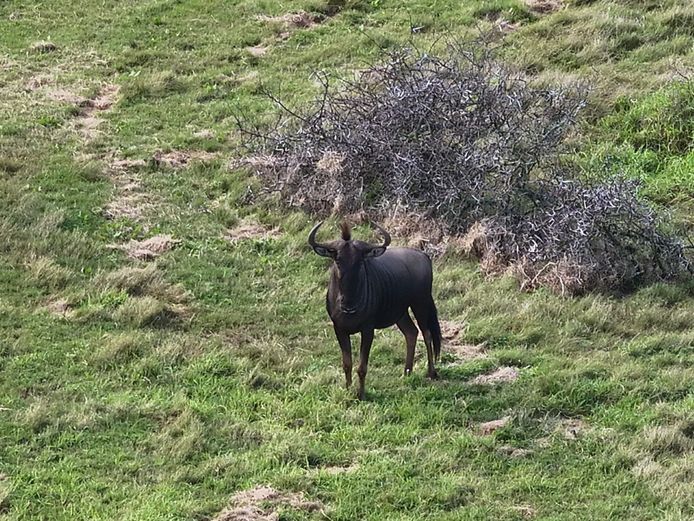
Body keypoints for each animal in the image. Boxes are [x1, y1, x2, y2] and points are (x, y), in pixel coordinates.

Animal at [308, 221, 442, 400]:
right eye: (337, 260)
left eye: (360, 262)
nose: (348, 305)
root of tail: (424, 256)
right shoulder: (339, 329)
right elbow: (347, 363)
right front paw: (348, 390)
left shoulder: (368, 330)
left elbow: (362, 367)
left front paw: (361, 395)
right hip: (401, 312)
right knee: (411, 332)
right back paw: (406, 372)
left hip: (420, 303)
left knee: (426, 334)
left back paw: (431, 372)